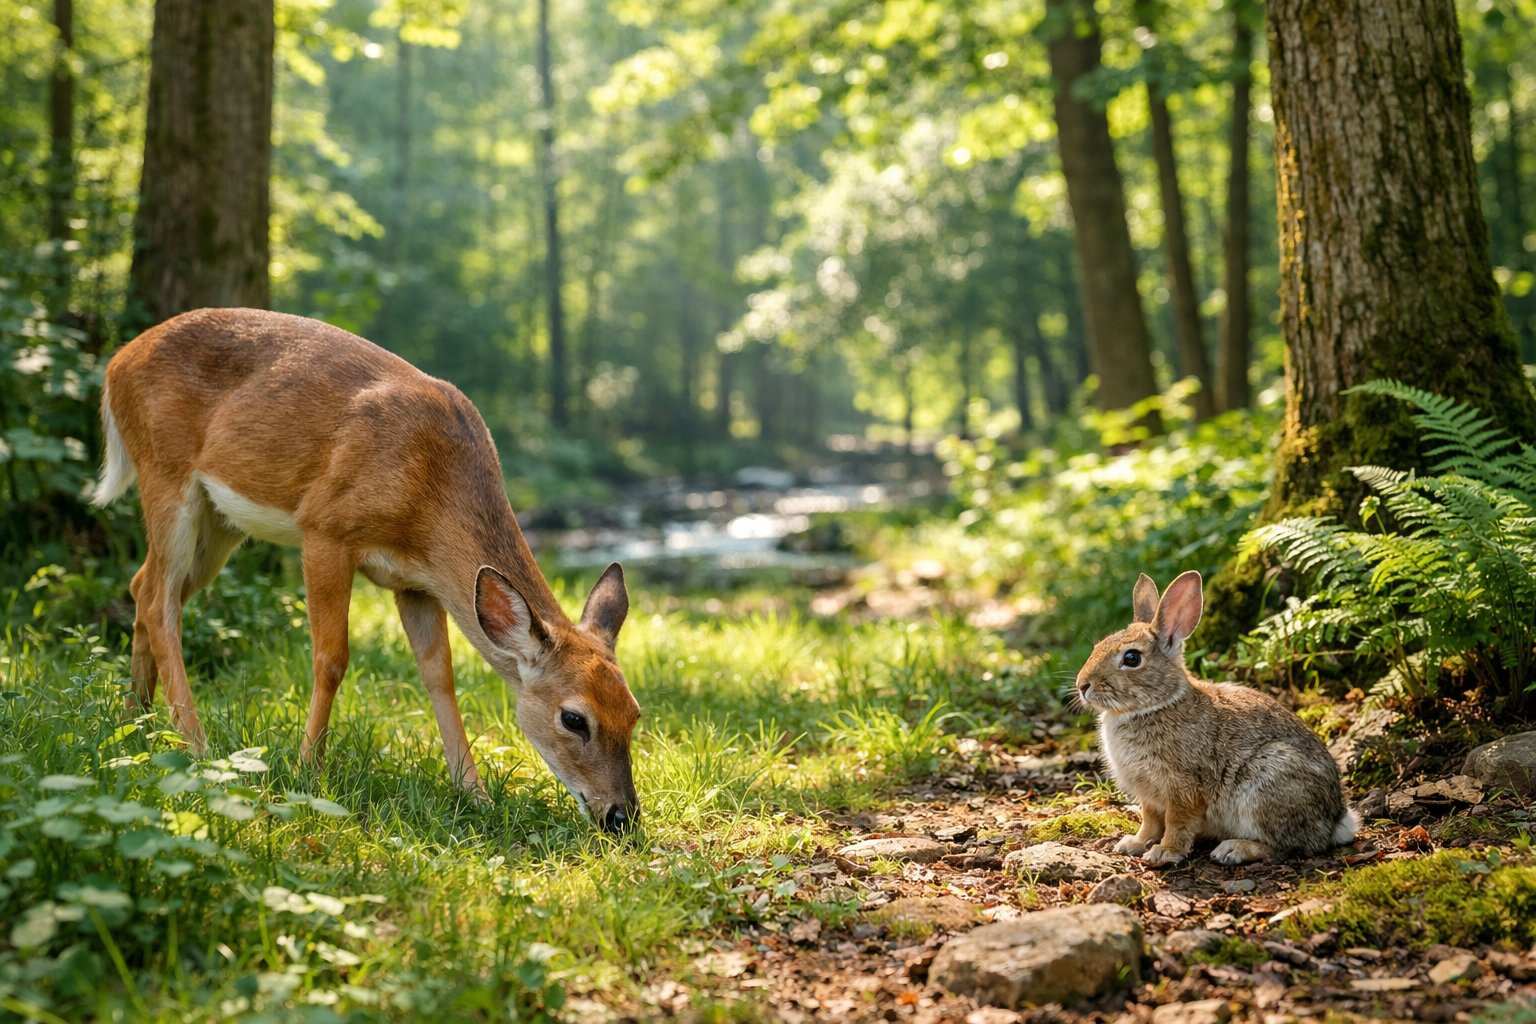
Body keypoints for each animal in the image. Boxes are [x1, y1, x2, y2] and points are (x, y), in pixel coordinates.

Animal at [92, 307, 641, 831]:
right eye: (574, 718)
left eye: (635, 714)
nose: (621, 817)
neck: (427, 494)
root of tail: (115, 364)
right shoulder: (326, 529)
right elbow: (331, 657)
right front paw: (308, 770)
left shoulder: (417, 583)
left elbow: (439, 674)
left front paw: (475, 794)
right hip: (166, 474)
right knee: (159, 597)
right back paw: (196, 744)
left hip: (219, 519)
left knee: (144, 584)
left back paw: (136, 721)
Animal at [1075, 570, 1359, 865]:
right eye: (1098, 646)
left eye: (1132, 658)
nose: (1082, 685)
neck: (1156, 704)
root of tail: (1336, 821)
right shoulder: (1149, 797)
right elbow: (1150, 820)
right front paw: (1134, 843)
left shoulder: (1184, 787)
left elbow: (1177, 822)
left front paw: (1165, 852)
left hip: (1268, 779)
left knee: (1292, 845)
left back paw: (1235, 849)